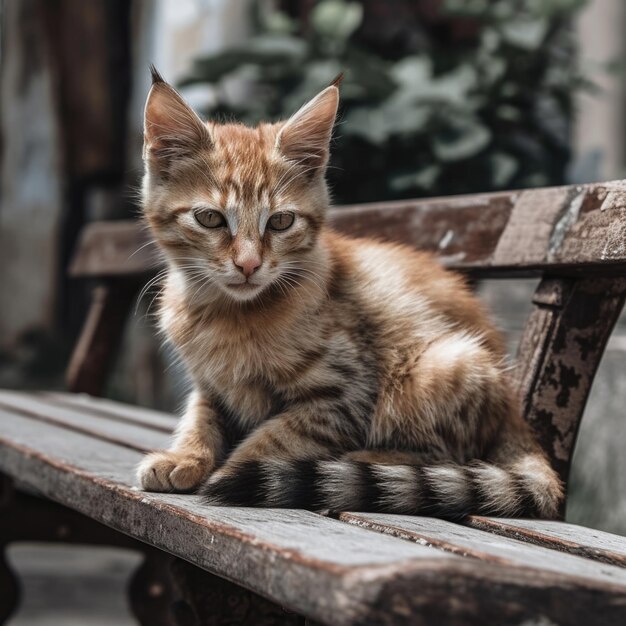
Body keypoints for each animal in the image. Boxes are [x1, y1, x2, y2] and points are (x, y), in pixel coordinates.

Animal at [136, 67, 560, 516]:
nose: (249, 265)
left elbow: (273, 439)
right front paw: (185, 456)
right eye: (210, 219)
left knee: (450, 455)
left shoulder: (343, 396)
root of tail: (516, 416)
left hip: (445, 365)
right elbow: (200, 416)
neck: (228, 312)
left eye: (281, 222)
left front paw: (232, 471)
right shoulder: (211, 385)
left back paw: (365, 463)